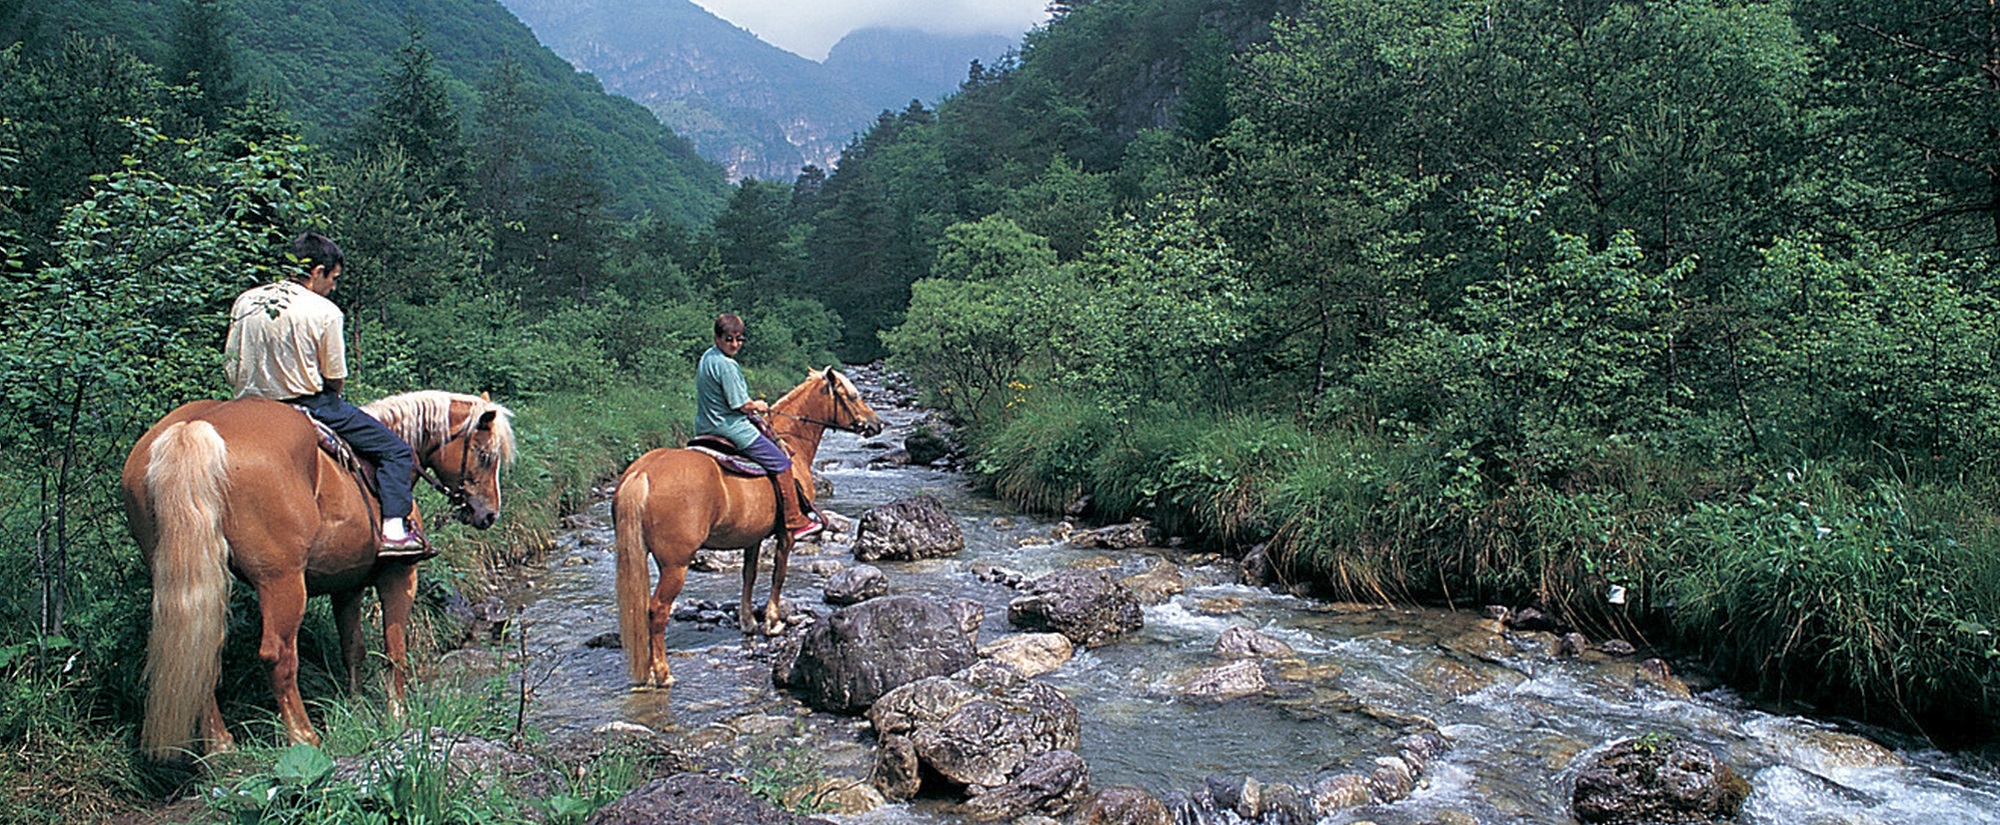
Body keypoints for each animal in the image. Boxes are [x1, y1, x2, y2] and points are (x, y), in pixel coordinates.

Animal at [123, 392, 516, 760]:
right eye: (485, 455)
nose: (489, 514)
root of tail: (193, 428)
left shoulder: (347, 585)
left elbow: (353, 647)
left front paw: (356, 706)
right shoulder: (399, 576)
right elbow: (395, 649)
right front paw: (398, 715)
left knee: (198, 652)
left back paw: (220, 747)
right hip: (281, 581)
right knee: (277, 655)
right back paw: (303, 737)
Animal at [612, 368, 880, 688]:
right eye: (852, 395)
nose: (876, 424)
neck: (792, 442)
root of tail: (641, 472)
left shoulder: (753, 537)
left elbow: (749, 575)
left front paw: (748, 621)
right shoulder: (786, 535)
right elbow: (778, 574)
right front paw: (773, 622)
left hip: (641, 554)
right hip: (676, 564)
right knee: (657, 610)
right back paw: (663, 674)